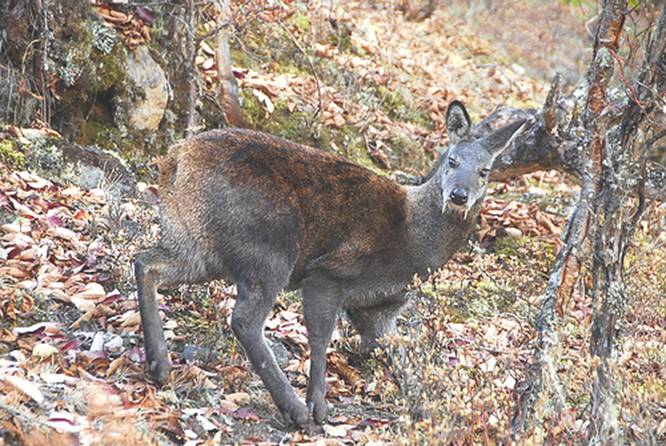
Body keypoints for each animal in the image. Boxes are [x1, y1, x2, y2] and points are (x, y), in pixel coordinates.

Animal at [135, 100, 528, 426]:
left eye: (486, 171)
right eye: (452, 161)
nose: (459, 195)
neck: (413, 240)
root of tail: (176, 157)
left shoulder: (379, 308)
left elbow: (403, 362)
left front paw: (428, 414)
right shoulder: (329, 272)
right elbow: (321, 337)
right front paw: (318, 407)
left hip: (195, 240)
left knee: (145, 261)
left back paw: (159, 364)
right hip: (269, 246)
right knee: (245, 320)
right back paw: (293, 409)